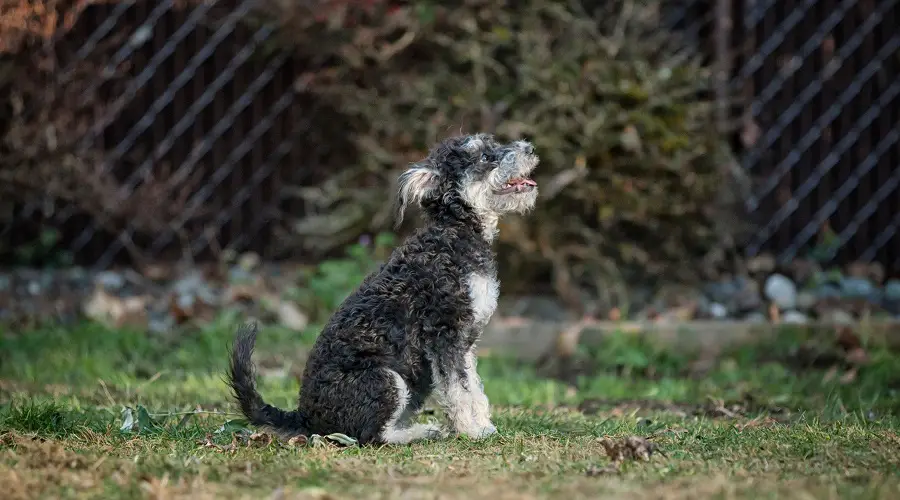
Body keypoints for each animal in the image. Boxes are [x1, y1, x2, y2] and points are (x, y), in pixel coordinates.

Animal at [229, 133, 536, 446]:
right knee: (373, 436)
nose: (529, 148)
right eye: (484, 156)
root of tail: (305, 416)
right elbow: (458, 391)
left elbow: (474, 388)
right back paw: (421, 432)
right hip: (387, 380)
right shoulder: (444, 337)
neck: (454, 235)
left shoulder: (465, 345)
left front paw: (483, 425)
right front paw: (471, 431)